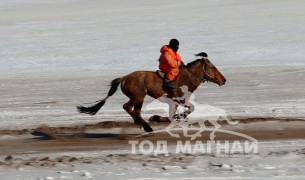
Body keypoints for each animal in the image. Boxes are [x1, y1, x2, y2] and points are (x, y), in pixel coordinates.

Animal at [76, 52, 226, 132]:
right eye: (213, 67)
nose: (223, 80)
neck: (186, 79)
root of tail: (124, 78)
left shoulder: (179, 101)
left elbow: (188, 110)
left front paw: (178, 116)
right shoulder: (176, 100)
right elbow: (173, 116)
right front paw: (157, 117)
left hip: (140, 98)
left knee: (136, 111)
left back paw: (141, 123)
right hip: (137, 97)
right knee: (127, 107)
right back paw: (146, 126)